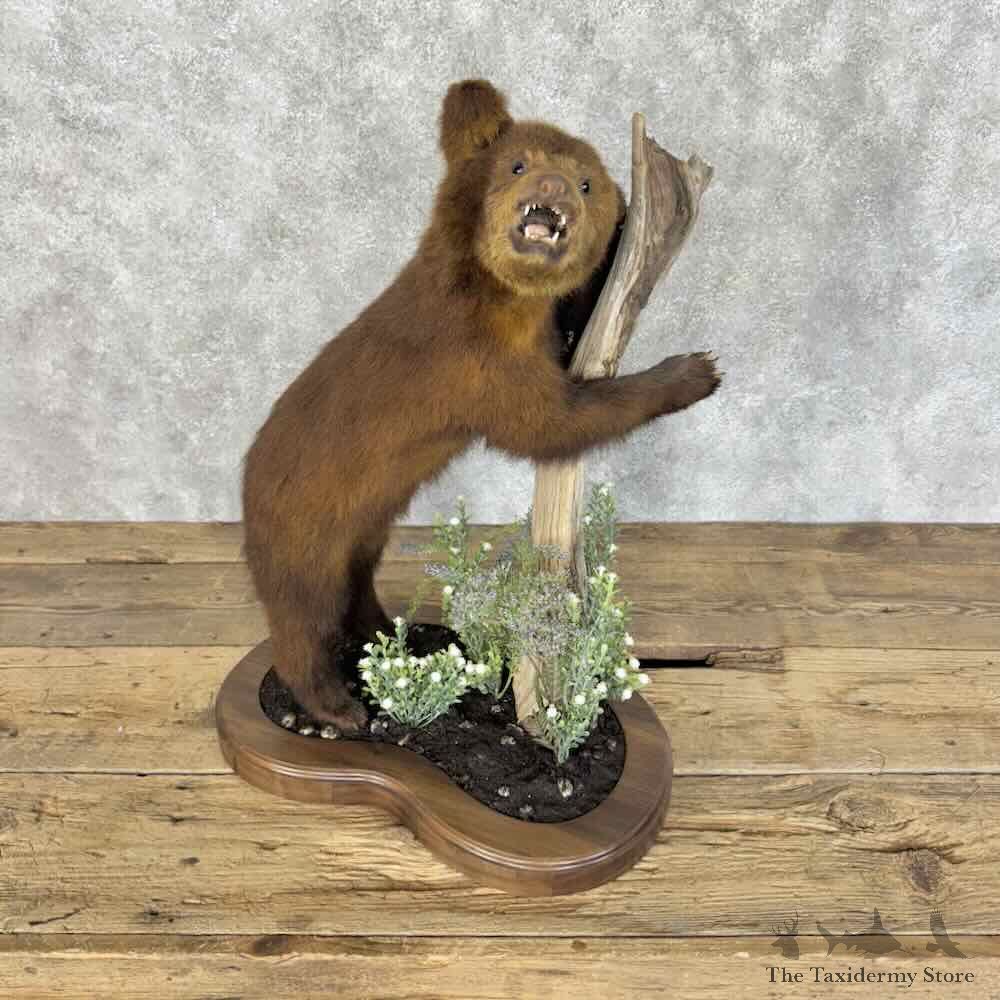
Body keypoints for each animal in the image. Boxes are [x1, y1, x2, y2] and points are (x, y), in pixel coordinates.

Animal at [241, 79, 720, 731]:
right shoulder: (473, 365)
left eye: (587, 182)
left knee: (354, 584)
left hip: (363, 526)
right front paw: (694, 371)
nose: (552, 187)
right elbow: (550, 423)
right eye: (518, 164)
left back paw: (393, 634)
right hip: (303, 526)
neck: (496, 297)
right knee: (301, 616)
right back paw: (336, 708)